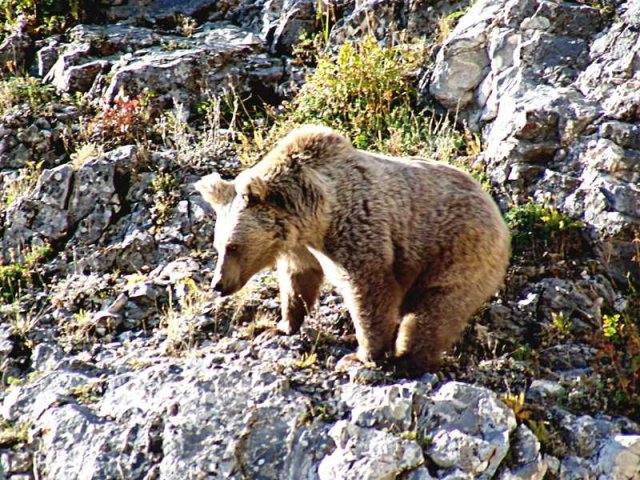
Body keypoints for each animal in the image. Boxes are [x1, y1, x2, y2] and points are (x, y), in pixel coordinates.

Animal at [195, 125, 510, 374]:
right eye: (217, 245)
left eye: (233, 246)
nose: (218, 284)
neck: (313, 214)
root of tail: (498, 215)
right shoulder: (300, 245)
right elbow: (298, 280)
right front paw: (279, 325)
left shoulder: (356, 227)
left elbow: (369, 288)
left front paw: (362, 356)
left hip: (458, 252)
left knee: (433, 312)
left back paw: (407, 361)